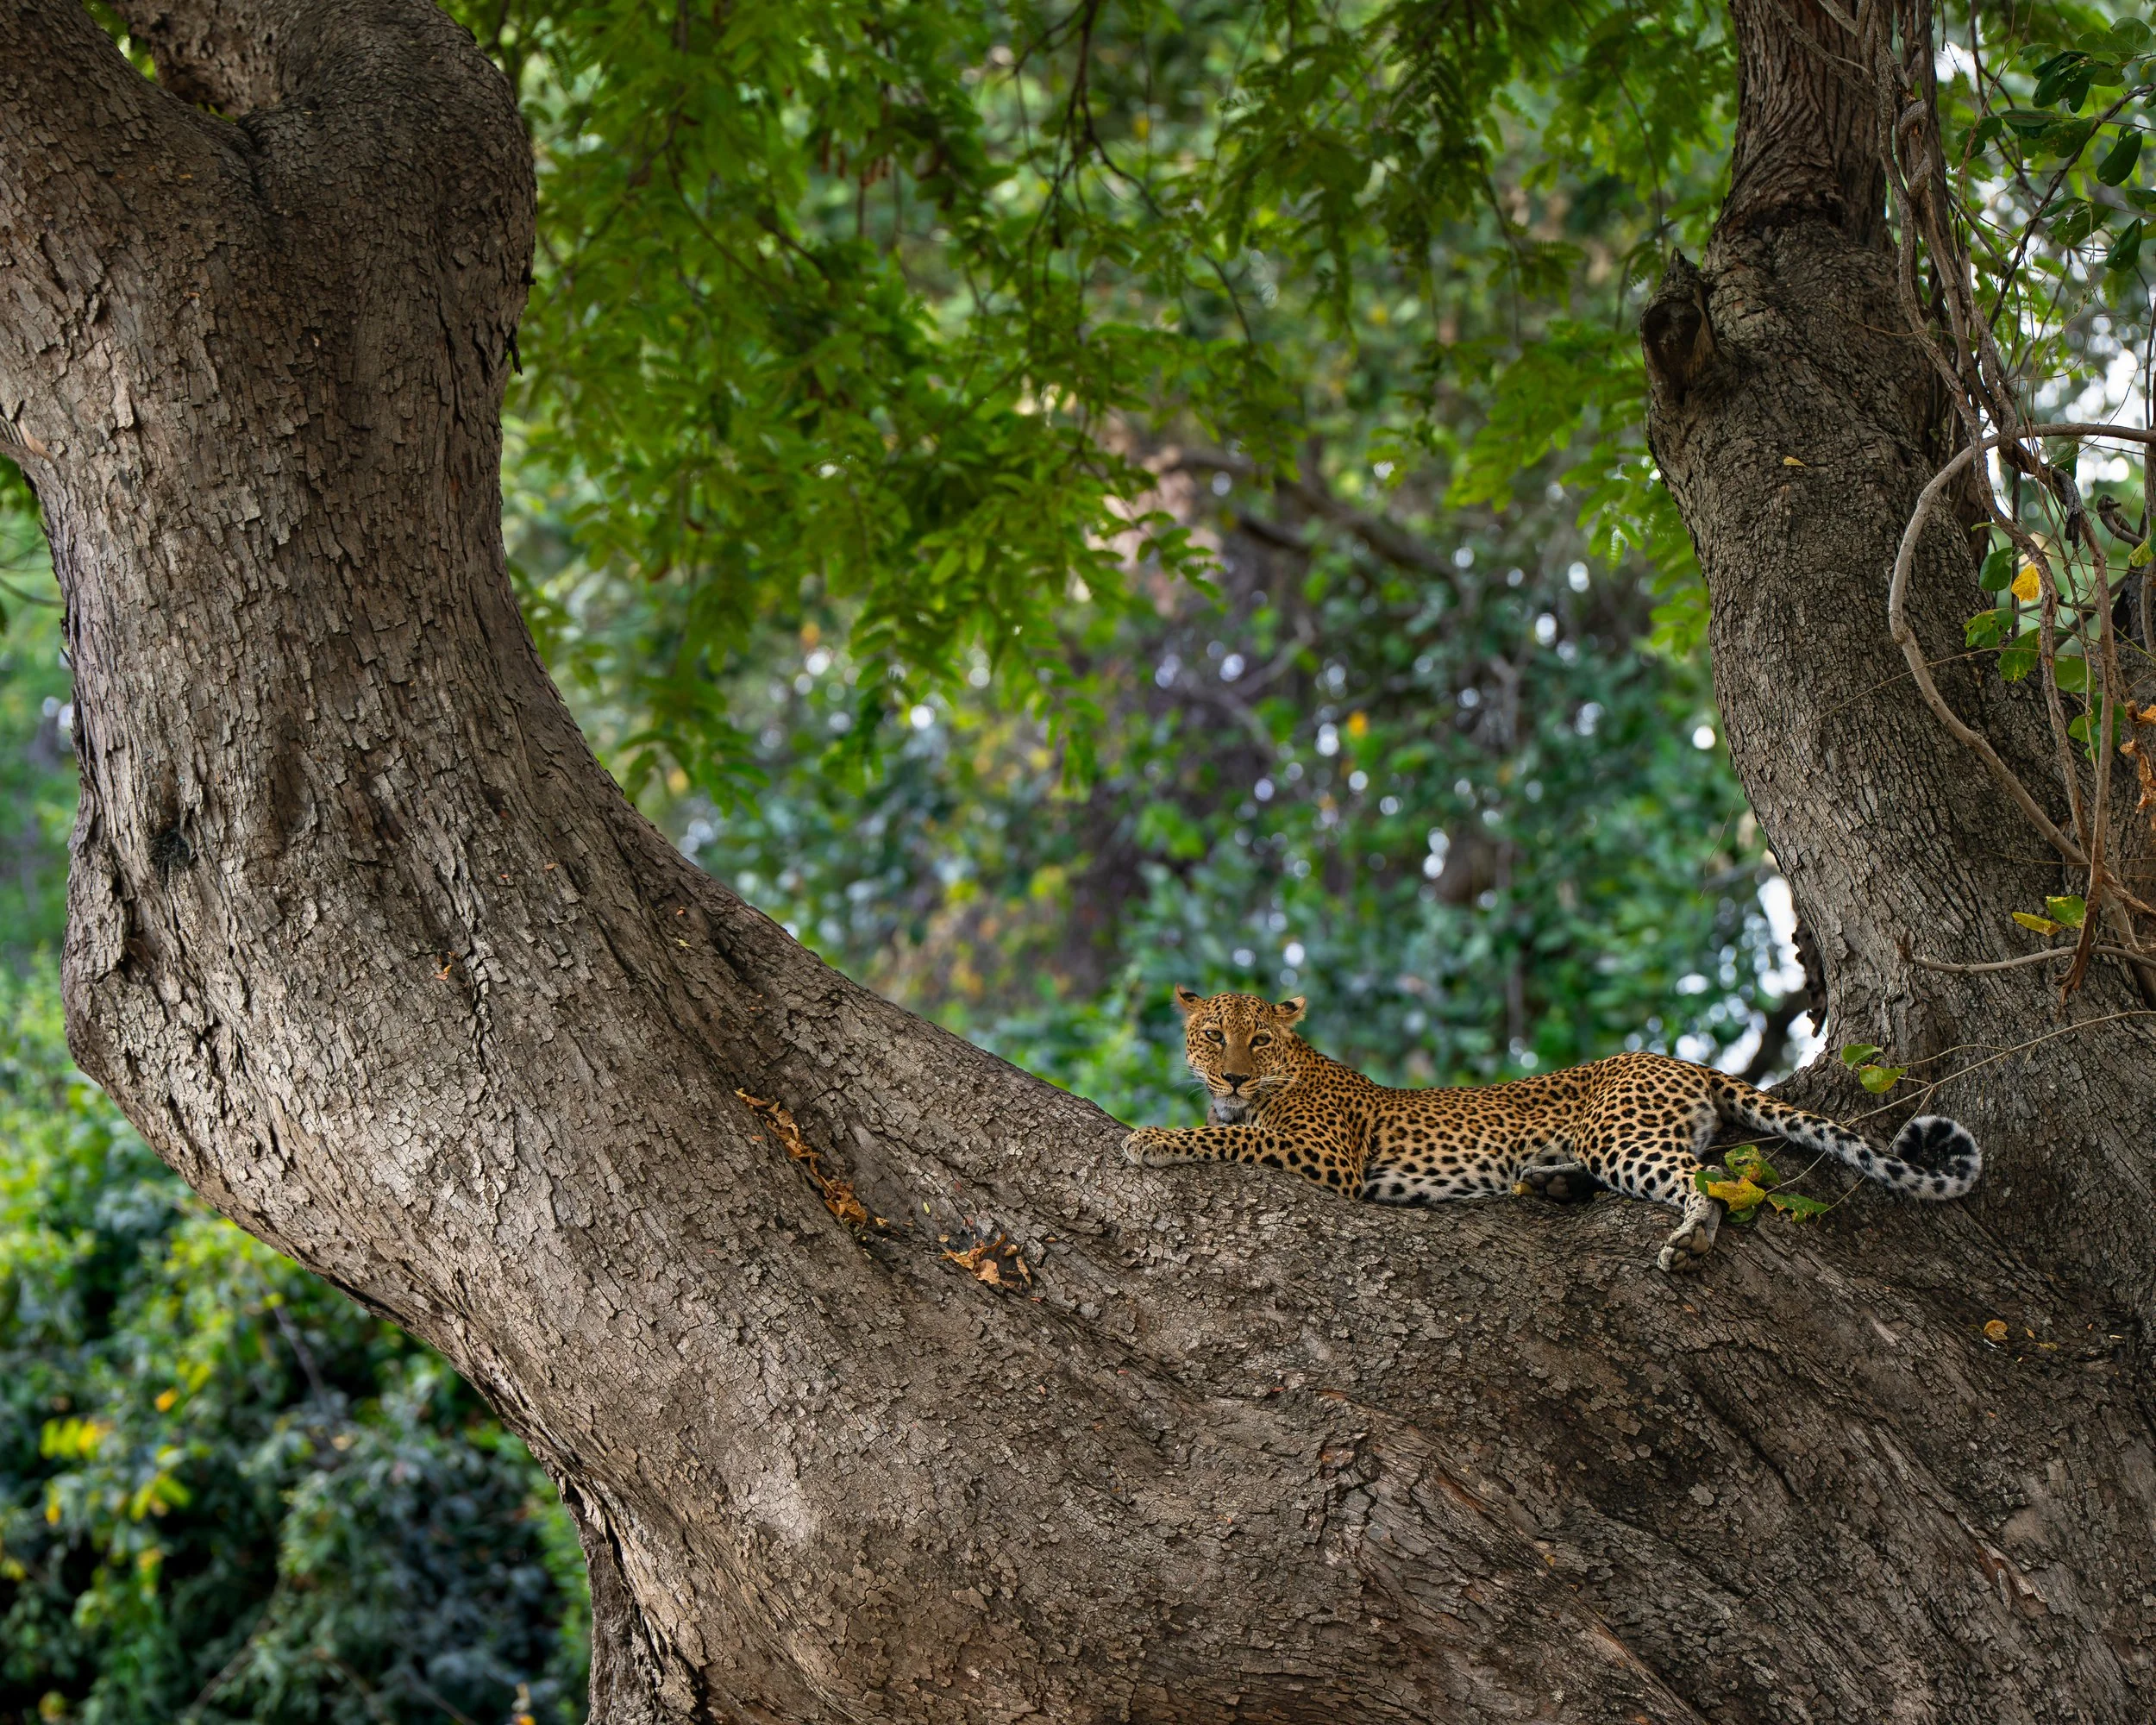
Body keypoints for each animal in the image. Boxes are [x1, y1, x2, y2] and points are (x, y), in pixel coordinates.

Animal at [1120, 987, 1982, 1271]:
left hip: (1623, 1137)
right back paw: (1544, 1179)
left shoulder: (1320, 1152)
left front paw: (1149, 1137)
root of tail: (1681, 1060)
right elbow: (1226, 1127)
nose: (1233, 1075)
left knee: (1705, 1182)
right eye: (1212, 1036)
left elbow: (1229, 1137)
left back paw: (1688, 1240)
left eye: (1259, 1039)